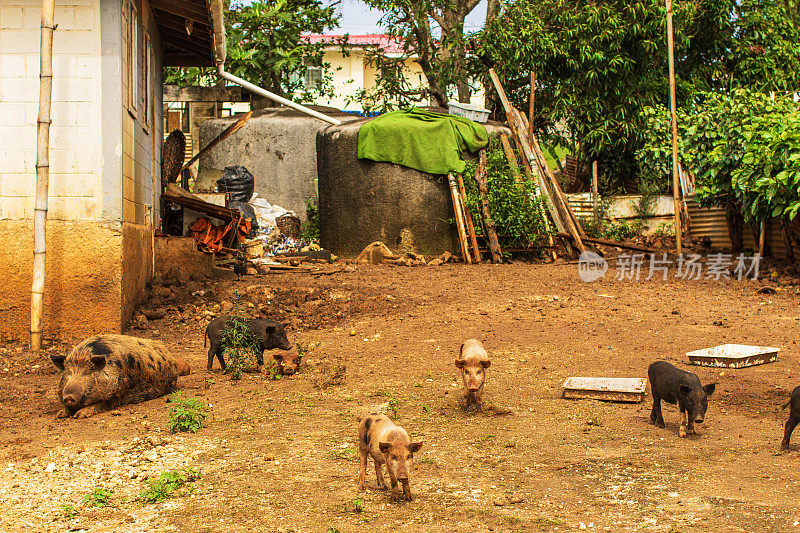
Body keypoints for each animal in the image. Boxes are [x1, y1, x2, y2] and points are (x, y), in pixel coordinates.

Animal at [50, 334, 191, 418]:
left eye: (87, 372)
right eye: (68, 372)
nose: (69, 397)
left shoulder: (118, 393)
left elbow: (100, 404)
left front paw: (79, 415)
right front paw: (60, 414)